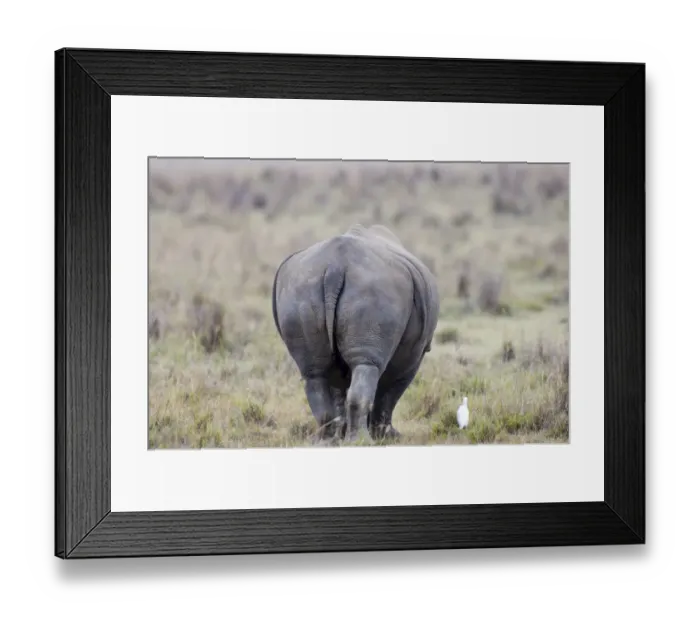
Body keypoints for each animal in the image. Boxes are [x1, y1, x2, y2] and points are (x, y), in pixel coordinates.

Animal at [271, 223, 440, 444]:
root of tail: (335, 267)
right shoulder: (414, 354)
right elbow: (390, 393)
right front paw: (388, 436)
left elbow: (338, 392)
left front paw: (344, 434)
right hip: (374, 289)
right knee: (366, 366)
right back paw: (361, 441)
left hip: (300, 289)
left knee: (315, 373)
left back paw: (325, 442)